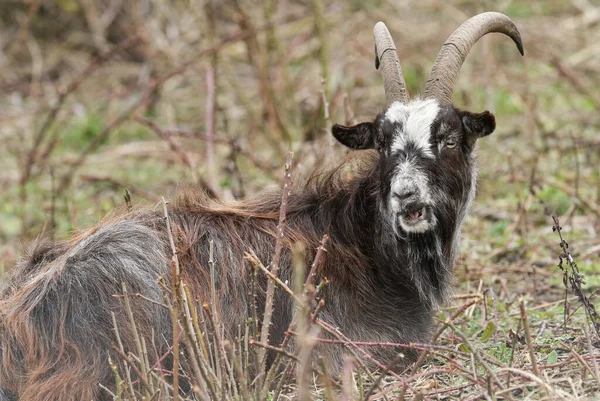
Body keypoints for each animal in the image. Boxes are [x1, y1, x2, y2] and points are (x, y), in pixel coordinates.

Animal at [0, 11, 520, 400]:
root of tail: (21, 317)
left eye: (449, 137)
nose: (405, 195)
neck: (365, 245)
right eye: (382, 144)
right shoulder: (347, 353)